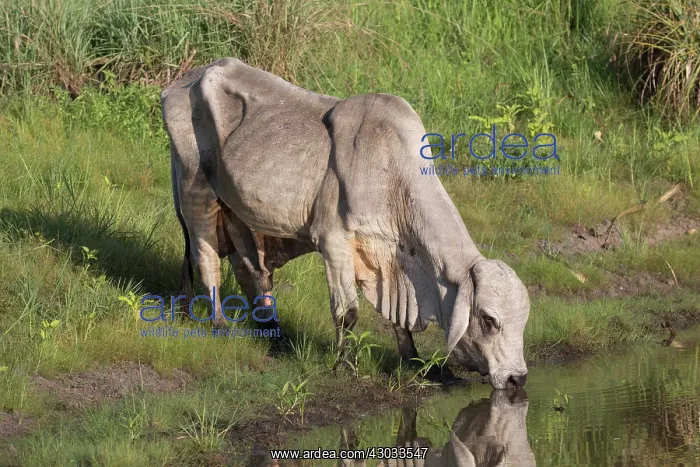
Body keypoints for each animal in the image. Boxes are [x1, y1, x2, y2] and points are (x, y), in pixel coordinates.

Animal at [161, 58, 530, 389]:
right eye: (489, 319)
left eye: (523, 320)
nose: (517, 378)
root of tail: (188, 78)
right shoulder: (333, 242)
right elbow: (347, 312)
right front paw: (345, 365)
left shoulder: (389, 262)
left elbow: (397, 320)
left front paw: (415, 361)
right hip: (197, 193)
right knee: (206, 259)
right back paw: (220, 323)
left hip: (239, 210)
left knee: (250, 268)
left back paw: (275, 334)